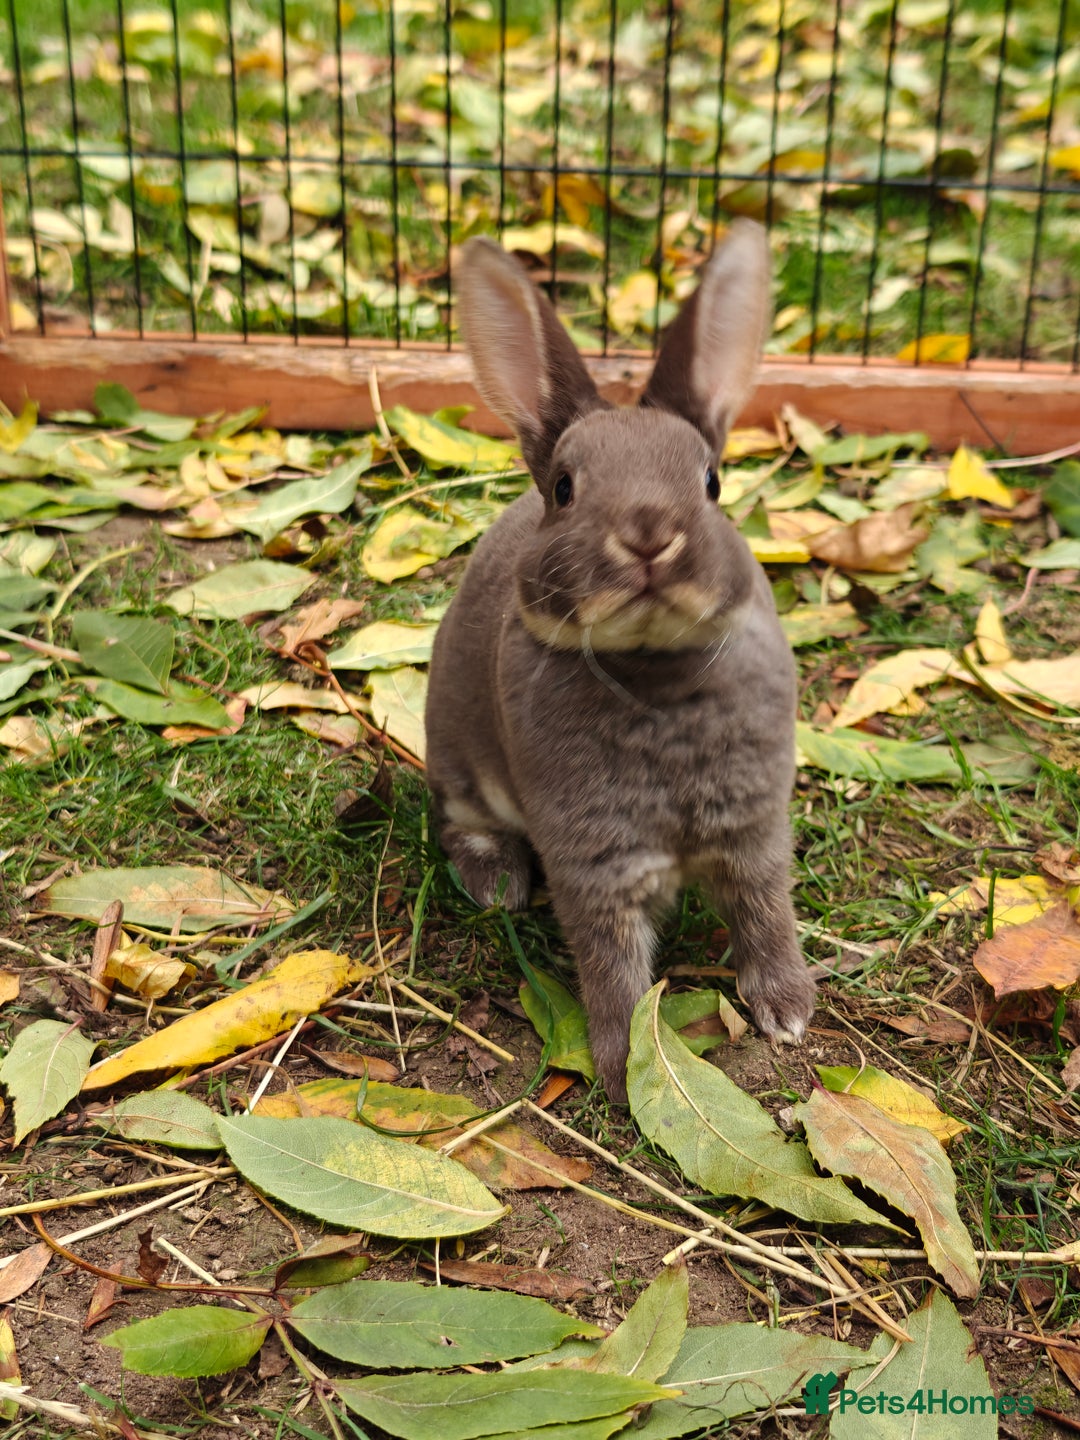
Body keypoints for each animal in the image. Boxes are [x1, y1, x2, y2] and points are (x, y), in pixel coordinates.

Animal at [424, 220, 815, 1102]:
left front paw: (788, 1010)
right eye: (566, 487)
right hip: (456, 759)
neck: (653, 671)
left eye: (712, 481)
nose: (647, 534)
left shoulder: (754, 830)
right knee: (463, 822)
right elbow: (612, 967)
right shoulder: (593, 860)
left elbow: (766, 910)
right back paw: (496, 886)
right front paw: (621, 1065)